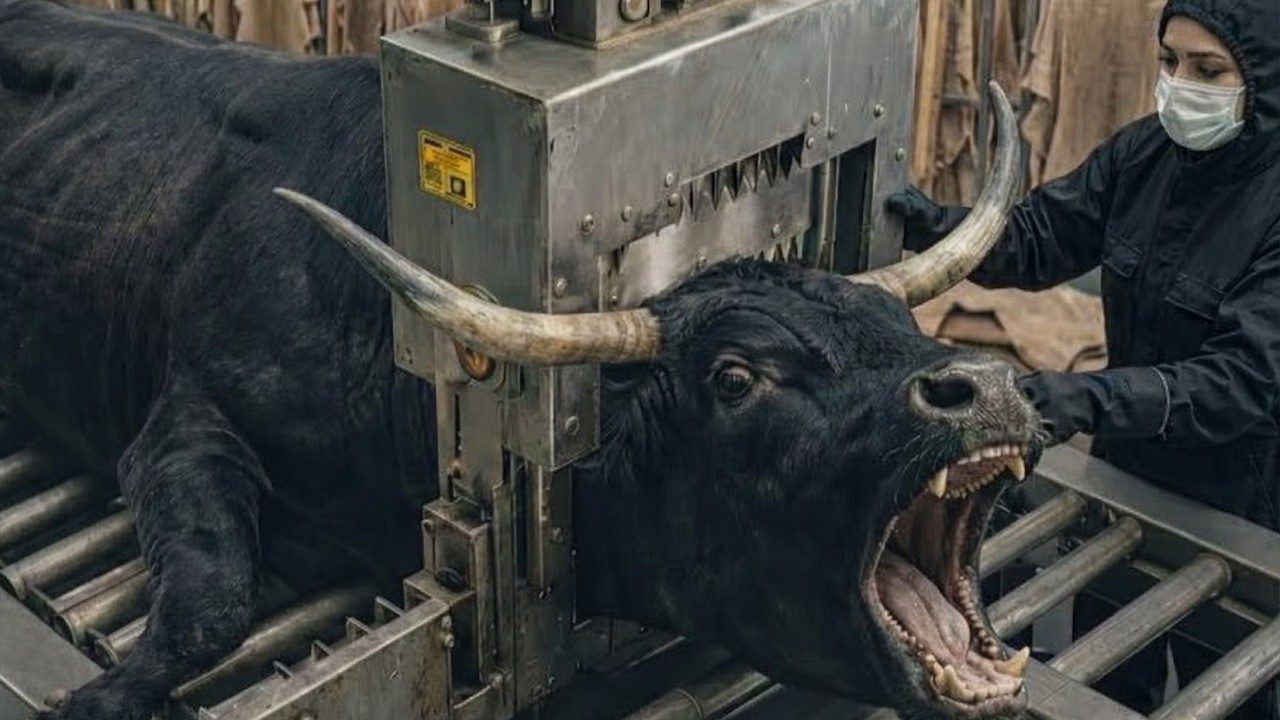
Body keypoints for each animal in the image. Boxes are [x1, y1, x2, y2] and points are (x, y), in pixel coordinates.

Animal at [0, 1, 1043, 719]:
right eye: (735, 377)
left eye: (893, 314)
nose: (984, 384)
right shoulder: (185, 418)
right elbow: (210, 602)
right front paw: (97, 697)